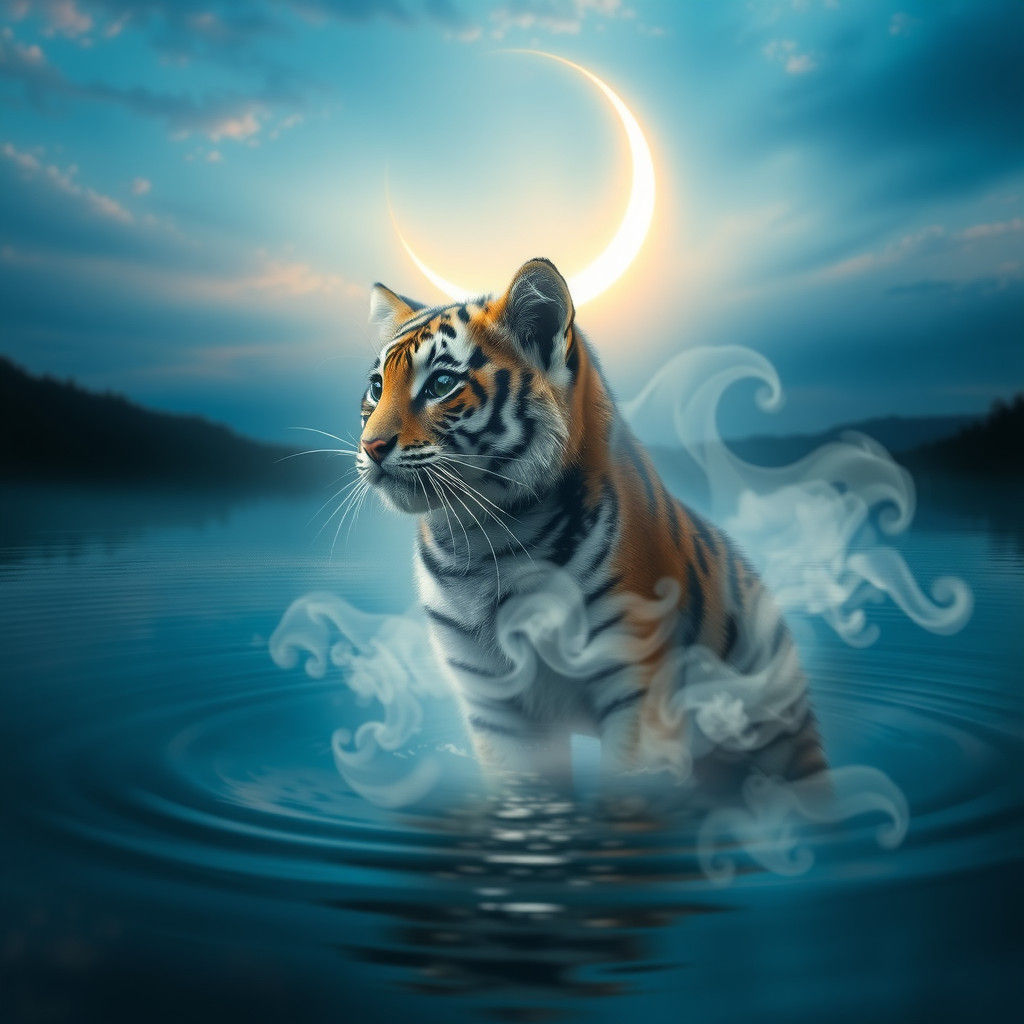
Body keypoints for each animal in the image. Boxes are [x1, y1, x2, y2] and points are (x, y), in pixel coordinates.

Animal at [355, 258, 825, 792]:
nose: (370, 447)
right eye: (376, 387)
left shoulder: (638, 685)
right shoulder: (495, 703)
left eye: (439, 385)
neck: (482, 542)